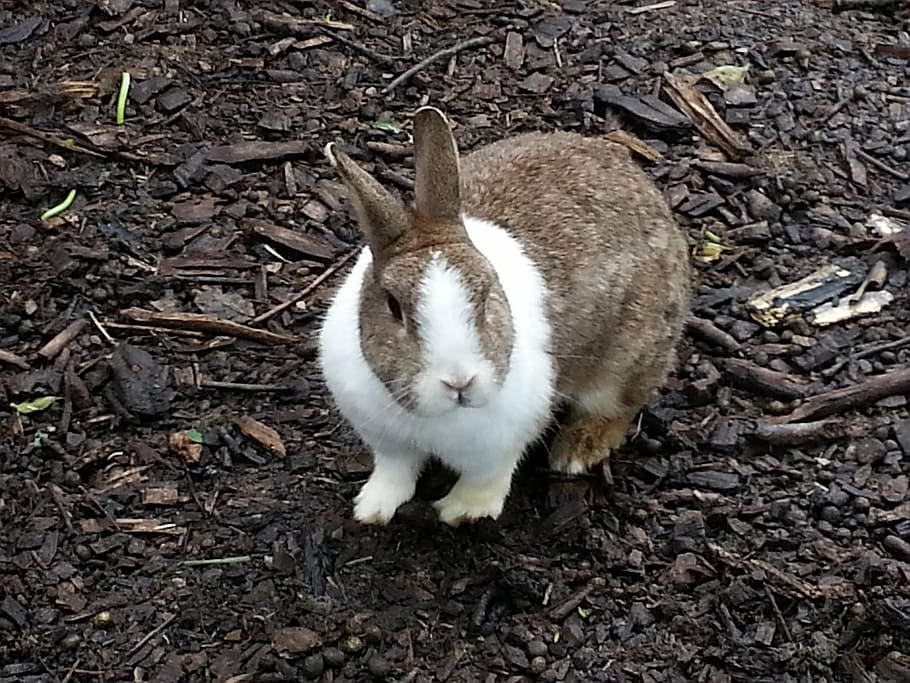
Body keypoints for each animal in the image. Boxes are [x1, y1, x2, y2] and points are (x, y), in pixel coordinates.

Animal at [318, 107, 690, 527]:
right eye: (394, 306)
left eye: (485, 295)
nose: (458, 381)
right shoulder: (389, 442)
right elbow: (395, 471)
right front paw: (372, 508)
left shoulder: (502, 442)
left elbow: (486, 477)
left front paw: (460, 512)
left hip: (626, 360)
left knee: (618, 408)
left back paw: (575, 452)